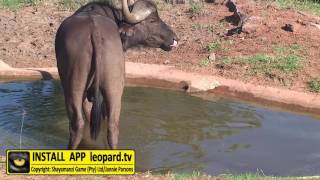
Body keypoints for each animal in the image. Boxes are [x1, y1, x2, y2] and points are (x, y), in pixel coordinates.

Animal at [56, 0, 179, 149]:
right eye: (152, 20)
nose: (174, 39)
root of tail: (94, 30)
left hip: (78, 88)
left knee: (83, 125)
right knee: (107, 126)